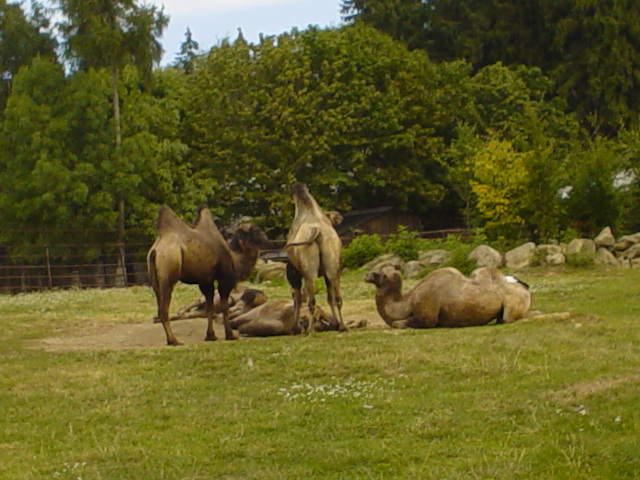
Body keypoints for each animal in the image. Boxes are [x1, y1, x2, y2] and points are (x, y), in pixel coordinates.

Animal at [282, 182, 348, 336]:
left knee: (310, 299)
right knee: (337, 297)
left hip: (309, 271)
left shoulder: (294, 273)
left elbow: (297, 299)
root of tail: (318, 233)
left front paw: (294, 328)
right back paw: (342, 326)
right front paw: (335, 323)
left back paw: (310, 330)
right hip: (333, 266)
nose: (338, 216)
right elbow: (330, 297)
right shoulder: (327, 274)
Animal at [364, 264, 528, 328]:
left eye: (380, 274)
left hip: (513, 305)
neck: (407, 302)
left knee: (507, 318)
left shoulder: (427, 316)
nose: (366, 275)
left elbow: (396, 323)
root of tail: (524, 287)